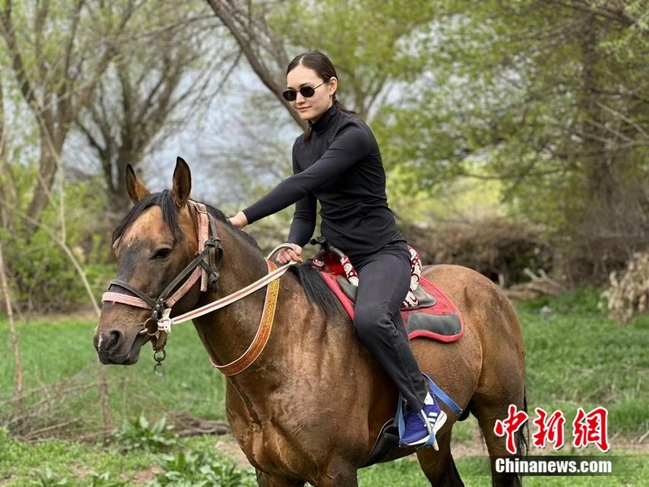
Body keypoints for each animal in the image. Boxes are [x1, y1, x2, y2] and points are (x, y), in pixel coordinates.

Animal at [94, 158, 527, 487]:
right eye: (117, 246)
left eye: (162, 251)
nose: (108, 339)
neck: (283, 349)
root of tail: (489, 288)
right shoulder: (272, 475)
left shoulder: (336, 472)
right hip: (438, 443)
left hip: (497, 418)